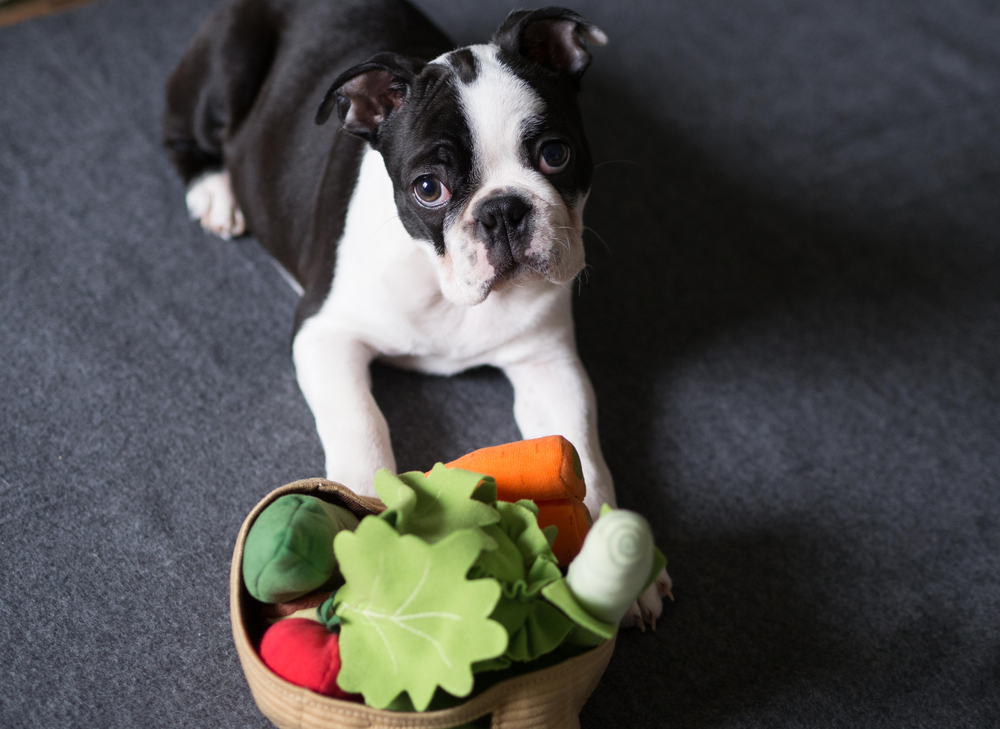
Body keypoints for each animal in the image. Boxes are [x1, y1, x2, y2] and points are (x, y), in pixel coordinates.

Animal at [164, 1, 668, 624]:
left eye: (556, 154)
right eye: (429, 188)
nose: (503, 210)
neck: (445, 285)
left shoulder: (548, 364)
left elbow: (582, 450)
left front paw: (620, 567)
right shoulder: (324, 334)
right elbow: (360, 421)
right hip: (227, 66)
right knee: (182, 130)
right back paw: (215, 189)